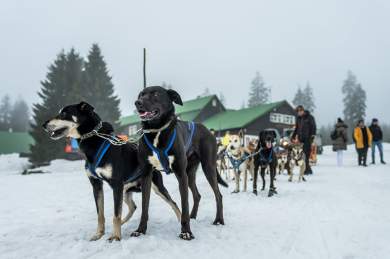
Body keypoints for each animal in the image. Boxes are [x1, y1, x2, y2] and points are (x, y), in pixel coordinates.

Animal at [43, 102, 181, 243]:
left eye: (64, 113)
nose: (44, 125)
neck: (95, 141)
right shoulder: (97, 185)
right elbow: (101, 214)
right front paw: (99, 234)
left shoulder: (116, 184)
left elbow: (116, 214)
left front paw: (116, 237)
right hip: (125, 191)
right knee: (133, 207)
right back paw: (122, 223)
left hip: (153, 187)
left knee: (173, 203)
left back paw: (182, 221)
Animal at [132, 87, 227, 242]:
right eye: (141, 94)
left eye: (155, 94)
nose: (137, 102)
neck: (157, 130)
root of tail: (207, 130)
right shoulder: (146, 175)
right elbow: (144, 207)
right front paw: (140, 230)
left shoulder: (180, 174)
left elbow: (184, 204)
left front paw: (186, 232)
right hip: (190, 173)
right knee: (197, 195)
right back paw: (193, 216)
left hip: (208, 168)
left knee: (218, 195)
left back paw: (218, 220)